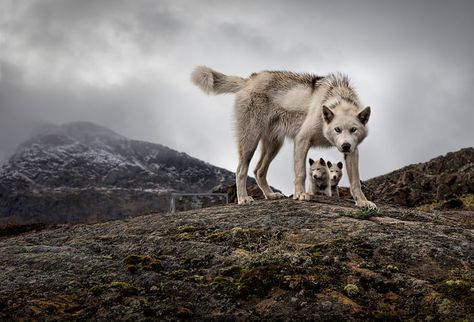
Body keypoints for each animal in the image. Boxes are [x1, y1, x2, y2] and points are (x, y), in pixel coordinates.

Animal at [191, 65, 376, 209]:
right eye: (337, 129)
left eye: (353, 130)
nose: (345, 146)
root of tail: (249, 80)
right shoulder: (302, 140)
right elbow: (300, 172)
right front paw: (300, 194)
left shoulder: (353, 152)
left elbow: (355, 182)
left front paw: (363, 202)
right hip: (250, 142)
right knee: (240, 170)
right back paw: (243, 198)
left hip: (274, 146)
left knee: (258, 171)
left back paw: (270, 195)